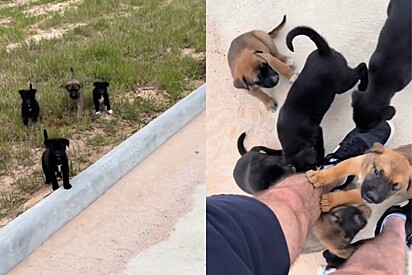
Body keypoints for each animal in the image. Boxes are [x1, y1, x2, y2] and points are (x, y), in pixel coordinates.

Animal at [276, 25, 368, 172]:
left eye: (310, 166)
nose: (316, 168)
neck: (293, 139)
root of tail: (323, 52)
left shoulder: (317, 132)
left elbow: (320, 147)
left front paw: (320, 157)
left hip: (343, 82)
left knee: (362, 67)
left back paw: (364, 85)